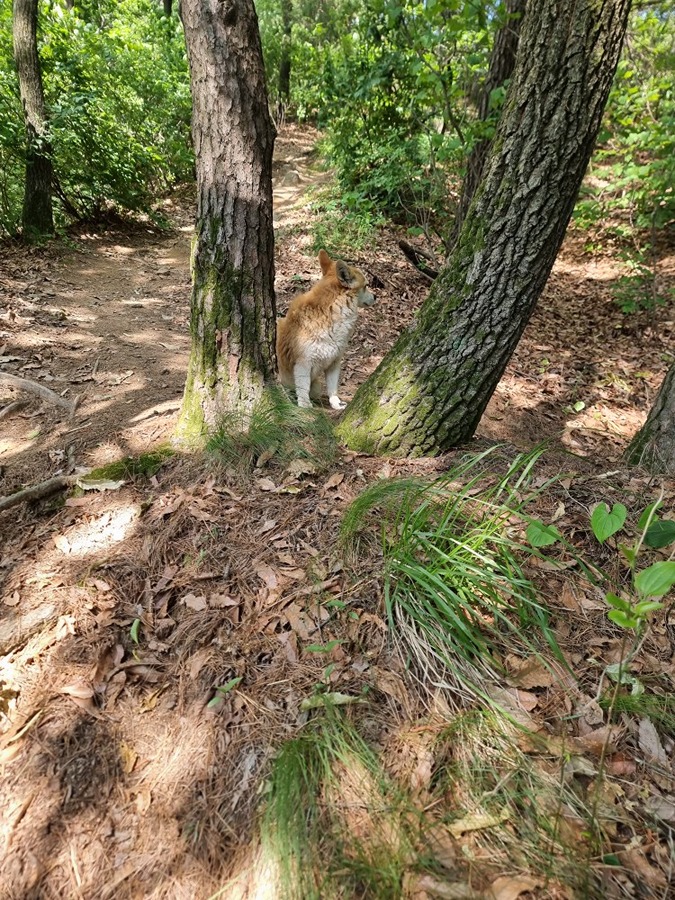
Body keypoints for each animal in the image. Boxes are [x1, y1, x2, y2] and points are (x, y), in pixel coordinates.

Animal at [278, 250, 378, 412]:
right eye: (366, 286)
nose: (376, 296)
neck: (330, 313)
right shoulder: (303, 364)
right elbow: (303, 387)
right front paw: (305, 405)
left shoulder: (334, 363)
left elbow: (333, 388)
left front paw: (336, 404)